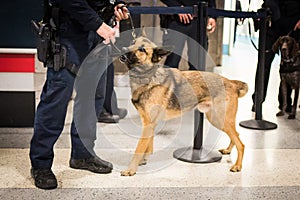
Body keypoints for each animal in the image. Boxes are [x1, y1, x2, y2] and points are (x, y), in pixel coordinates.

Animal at [119, 35, 248, 176]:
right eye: (132, 42)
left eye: (142, 49)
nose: (123, 49)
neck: (148, 76)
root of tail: (231, 82)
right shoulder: (149, 124)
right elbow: (148, 145)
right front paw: (143, 160)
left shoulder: (148, 124)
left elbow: (139, 148)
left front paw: (131, 169)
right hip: (218, 119)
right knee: (237, 135)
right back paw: (228, 150)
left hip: (219, 119)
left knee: (241, 143)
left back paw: (238, 166)